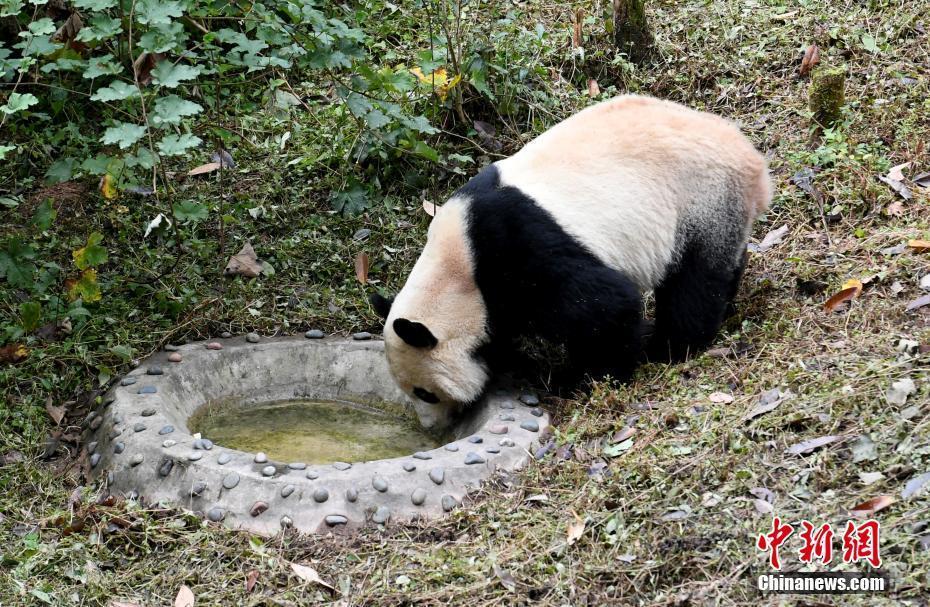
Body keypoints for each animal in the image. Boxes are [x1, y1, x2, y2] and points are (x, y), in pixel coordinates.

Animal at [368, 95, 768, 430]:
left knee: (694, 283)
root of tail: (752, 158)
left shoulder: (520, 249)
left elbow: (604, 306)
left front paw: (592, 376)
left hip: (702, 197)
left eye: (425, 392)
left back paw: (670, 346)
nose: (430, 428)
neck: (458, 266)